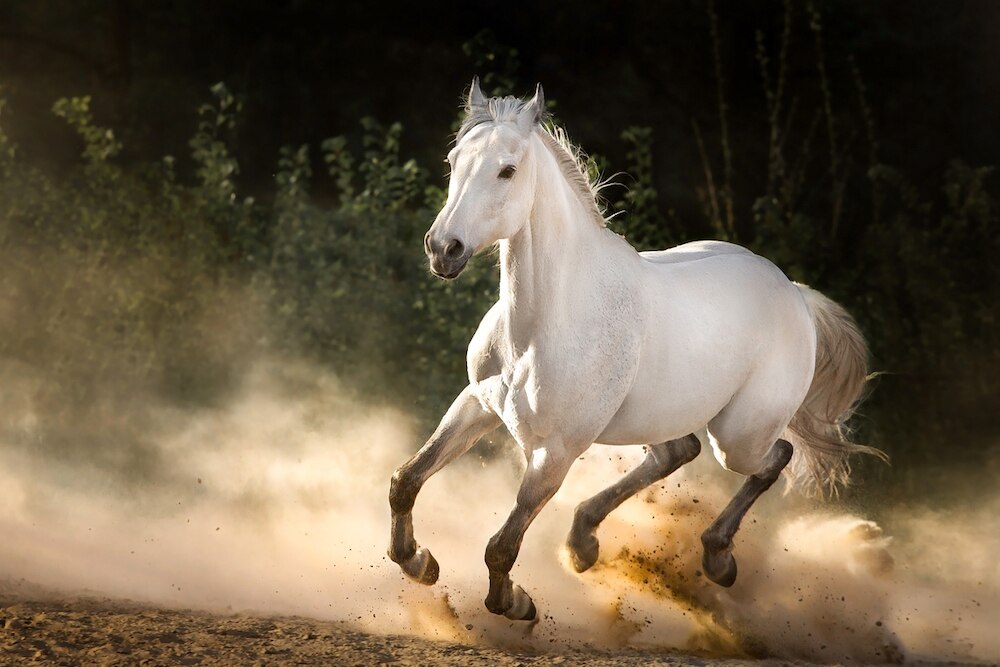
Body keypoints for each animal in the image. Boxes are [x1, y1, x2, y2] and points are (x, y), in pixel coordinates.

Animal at [388, 78, 887, 622]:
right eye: (454, 160)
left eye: (507, 170)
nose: (444, 249)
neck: (544, 324)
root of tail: (795, 293)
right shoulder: (477, 403)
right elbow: (407, 479)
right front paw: (418, 562)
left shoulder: (555, 453)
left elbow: (501, 545)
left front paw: (516, 604)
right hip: (657, 419)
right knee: (679, 451)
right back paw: (584, 541)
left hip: (737, 438)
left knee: (775, 455)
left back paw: (716, 558)